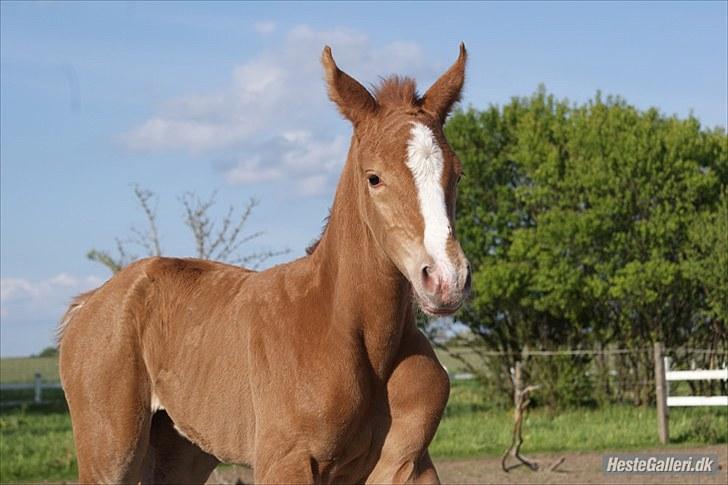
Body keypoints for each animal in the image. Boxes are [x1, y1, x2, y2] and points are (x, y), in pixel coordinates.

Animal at [61, 43, 472, 482]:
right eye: (373, 177)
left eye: (457, 174)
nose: (446, 279)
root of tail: (90, 302)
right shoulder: (286, 461)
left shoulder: (408, 463)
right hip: (110, 453)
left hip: (182, 448)